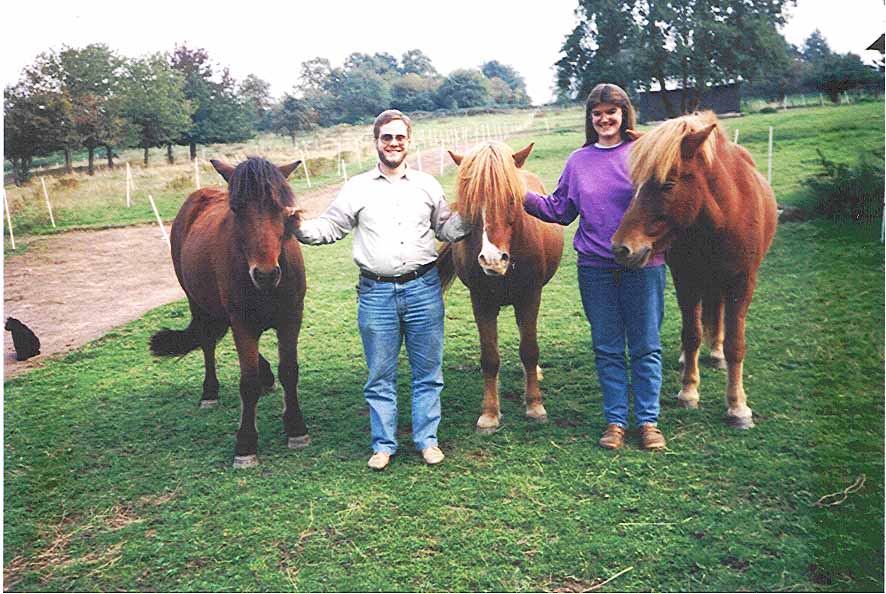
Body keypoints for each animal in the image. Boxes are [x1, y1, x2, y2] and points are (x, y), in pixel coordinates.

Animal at [154, 155, 314, 464]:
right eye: (237, 210)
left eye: (280, 208)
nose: (265, 274)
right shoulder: (242, 323)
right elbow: (247, 381)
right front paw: (246, 444)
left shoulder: (291, 319)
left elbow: (289, 371)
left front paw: (296, 428)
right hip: (198, 303)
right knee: (207, 343)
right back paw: (210, 392)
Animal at [440, 142, 564, 432]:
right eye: (470, 204)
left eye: (511, 199)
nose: (493, 260)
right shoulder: (481, 302)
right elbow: (490, 358)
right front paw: (489, 414)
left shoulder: (530, 297)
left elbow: (529, 350)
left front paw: (535, 406)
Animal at [612, 112, 776, 426]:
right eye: (634, 185)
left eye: (668, 184)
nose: (621, 248)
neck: (724, 217)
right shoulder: (686, 280)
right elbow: (691, 334)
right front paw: (688, 391)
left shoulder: (742, 283)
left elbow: (735, 344)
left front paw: (738, 406)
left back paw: (716, 354)